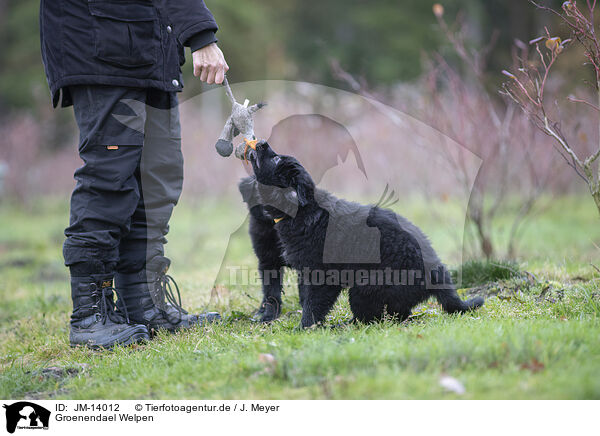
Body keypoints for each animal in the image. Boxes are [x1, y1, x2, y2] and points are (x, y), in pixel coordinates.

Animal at [239, 141, 482, 326]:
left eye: (276, 159)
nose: (261, 142)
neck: (304, 211)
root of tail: (437, 272)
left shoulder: (322, 275)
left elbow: (312, 304)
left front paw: (305, 328)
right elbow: (301, 296)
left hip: (365, 287)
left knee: (375, 317)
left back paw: (344, 325)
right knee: (399, 313)